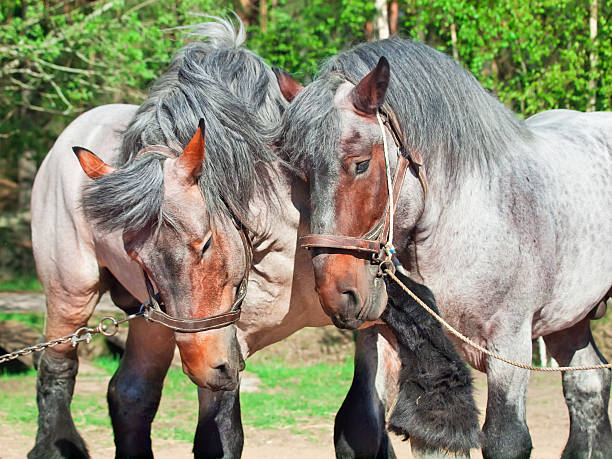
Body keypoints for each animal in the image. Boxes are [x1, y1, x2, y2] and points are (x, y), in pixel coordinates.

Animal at [29, 18, 416, 459]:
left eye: (206, 243)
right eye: (137, 258)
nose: (205, 368)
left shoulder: (373, 312)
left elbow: (366, 422)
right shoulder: (225, 343)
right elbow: (220, 439)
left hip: (155, 322)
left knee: (130, 394)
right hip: (73, 295)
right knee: (57, 370)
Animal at [276, 36, 612, 459]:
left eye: (361, 163)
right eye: (299, 172)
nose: (338, 293)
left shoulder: (511, 345)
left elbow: (505, 439)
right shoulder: (386, 340)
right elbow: (365, 425)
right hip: (569, 321)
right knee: (589, 386)